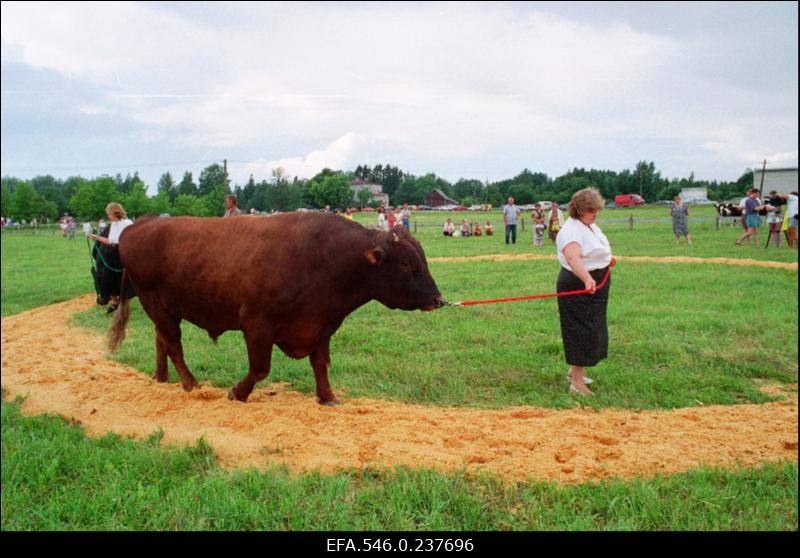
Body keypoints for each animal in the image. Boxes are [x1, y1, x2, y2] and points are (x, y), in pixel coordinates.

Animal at [107, 212, 446, 404]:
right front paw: (237, 392)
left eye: (422, 260)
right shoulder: (257, 325)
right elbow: (260, 368)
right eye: (407, 264)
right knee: (174, 345)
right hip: (156, 304)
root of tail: (138, 226)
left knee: (161, 341)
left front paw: (328, 397)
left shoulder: (320, 325)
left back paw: (161, 378)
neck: (325, 259)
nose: (438, 299)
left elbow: (320, 364)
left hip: (164, 310)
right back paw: (192, 385)